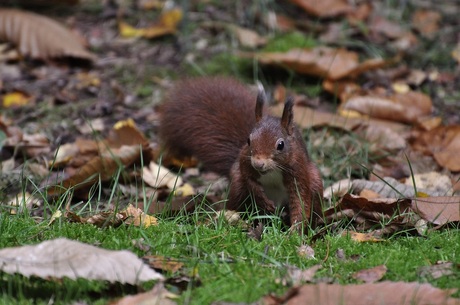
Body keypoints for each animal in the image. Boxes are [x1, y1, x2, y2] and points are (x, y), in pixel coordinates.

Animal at [158, 76, 324, 230]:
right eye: (248, 140)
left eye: (281, 145)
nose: (258, 163)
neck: (272, 170)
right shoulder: (245, 161)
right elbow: (249, 180)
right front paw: (262, 199)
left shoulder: (298, 170)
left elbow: (301, 200)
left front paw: (295, 231)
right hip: (237, 185)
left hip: (315, 182)